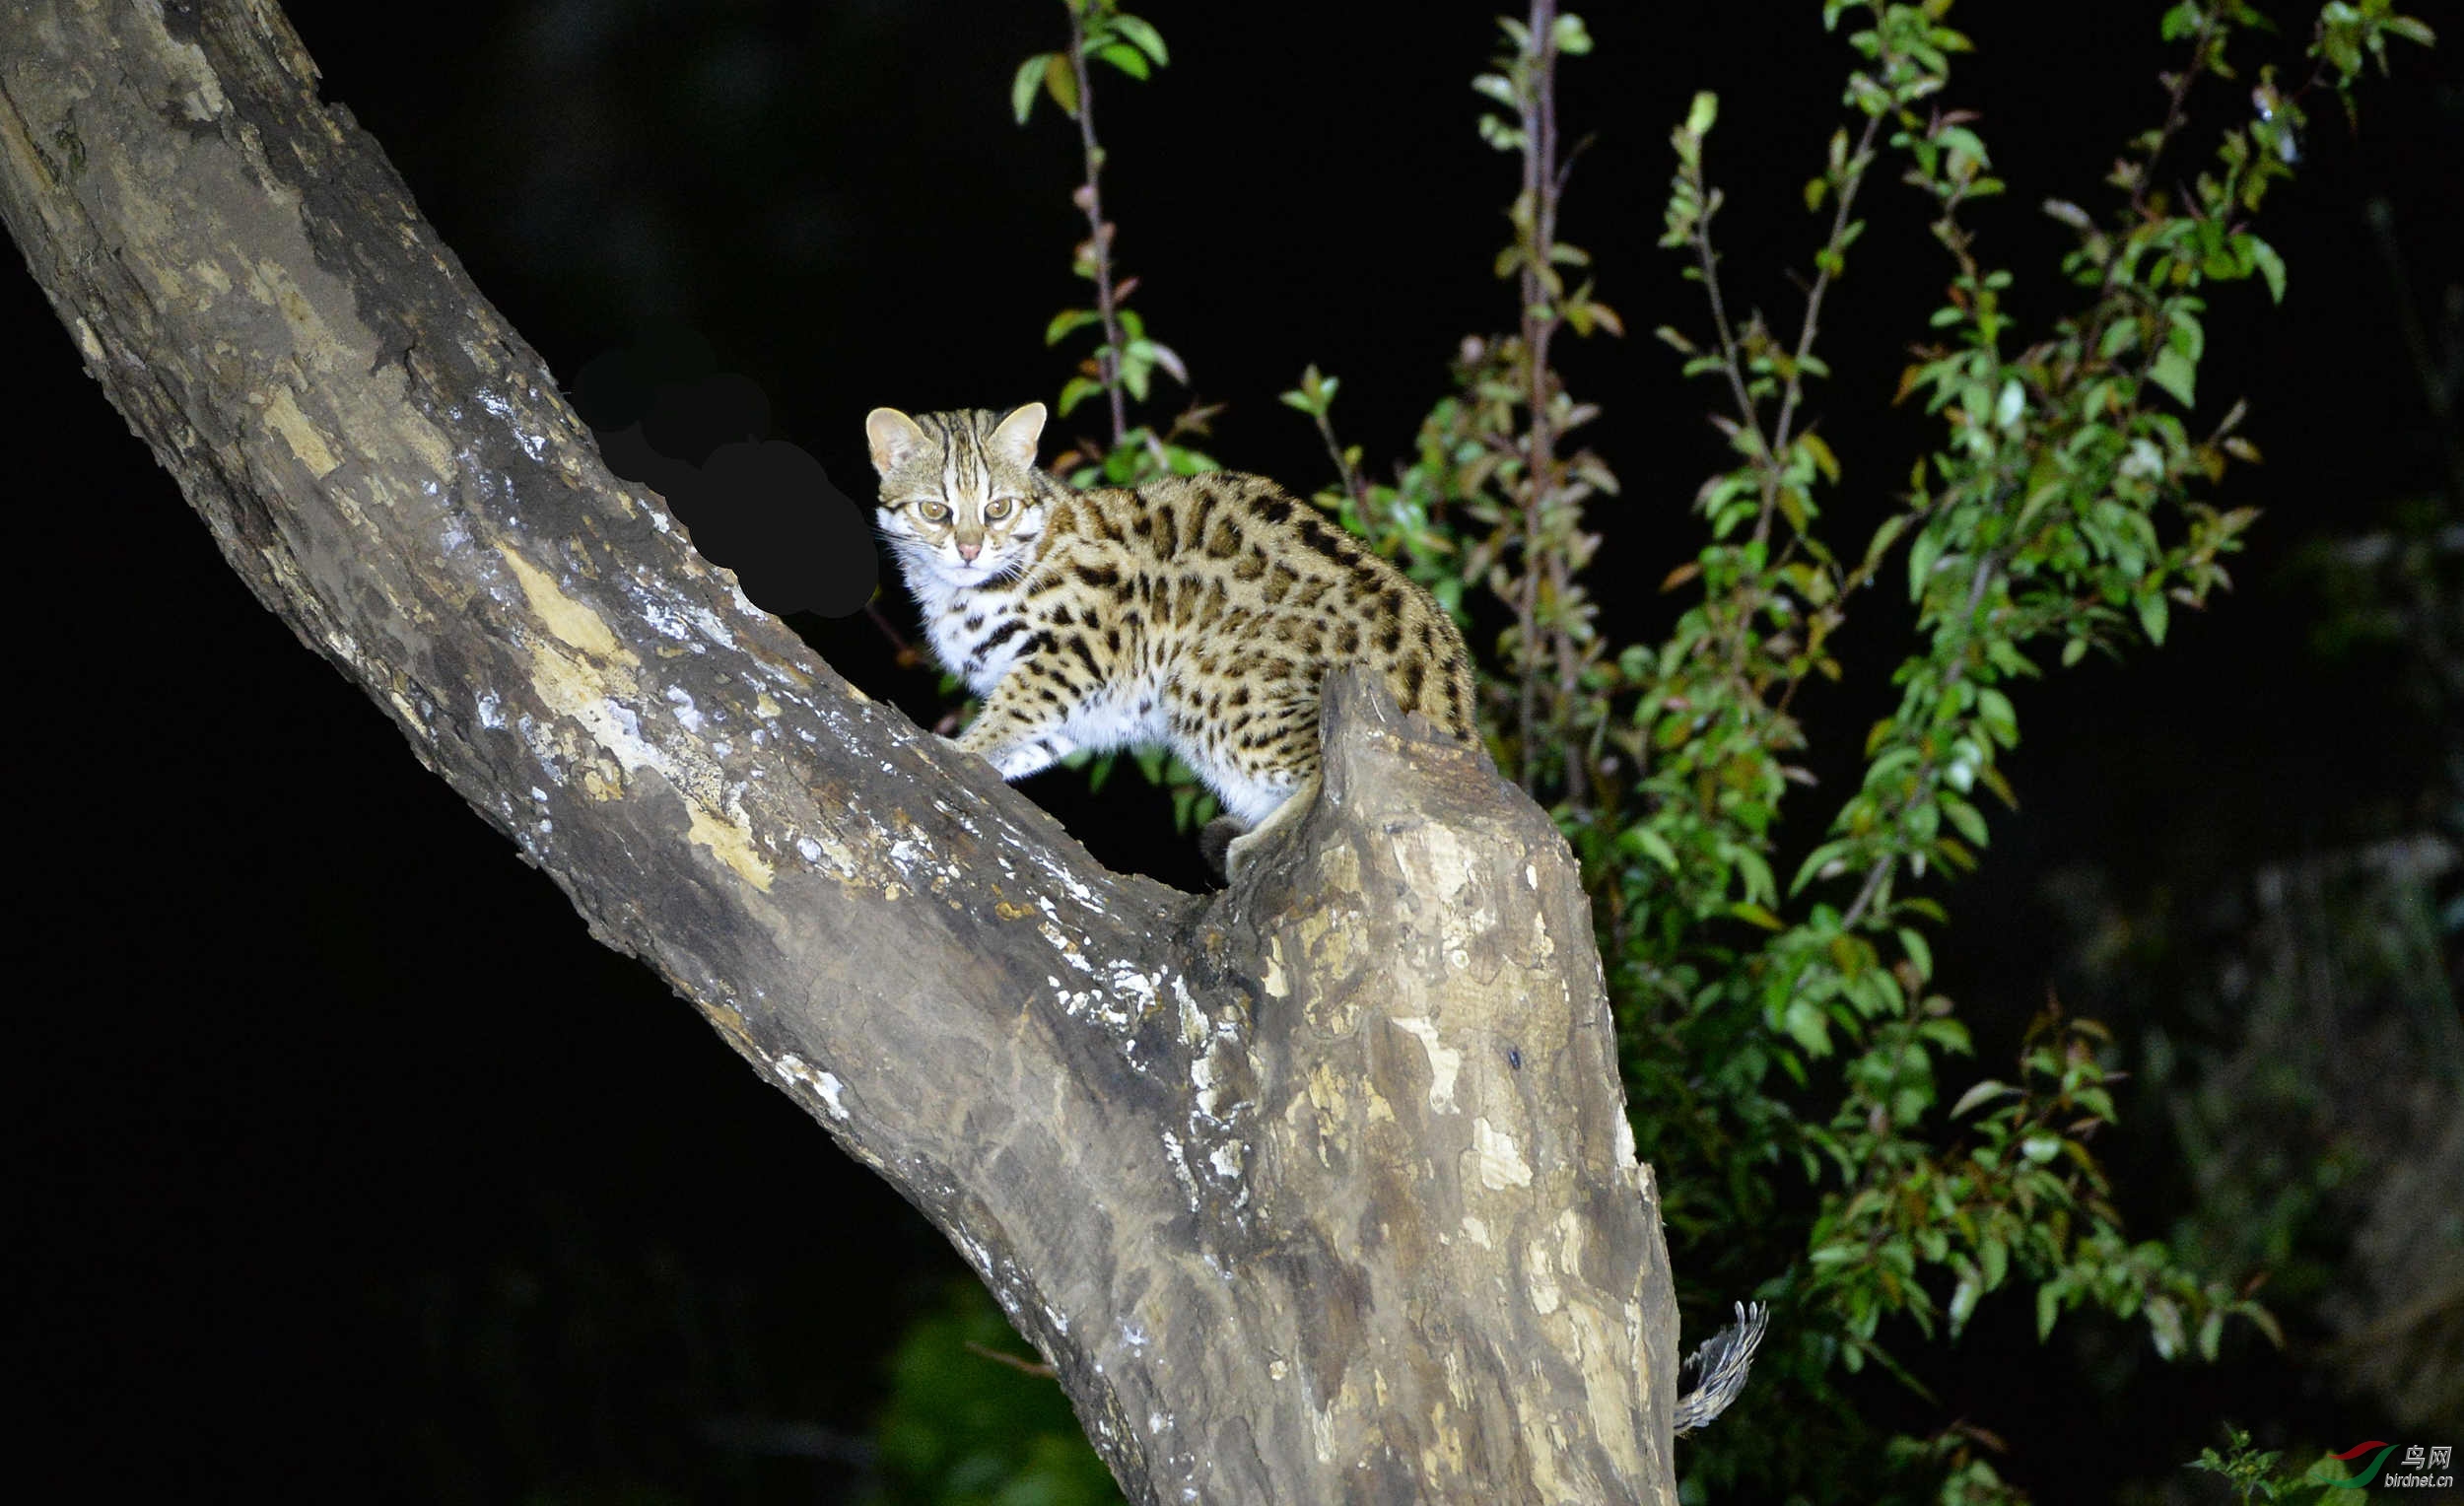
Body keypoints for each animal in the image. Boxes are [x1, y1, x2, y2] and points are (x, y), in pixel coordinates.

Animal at [867, 401, 1469, 877]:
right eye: (934, 510)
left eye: (998, 508)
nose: (969, 549)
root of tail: (1457, 718)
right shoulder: (1083, 701)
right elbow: (1033, 736)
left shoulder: (1085, 646)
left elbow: (1014, 710)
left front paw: (959, 751)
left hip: (1214, 676)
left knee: (1331, 774)